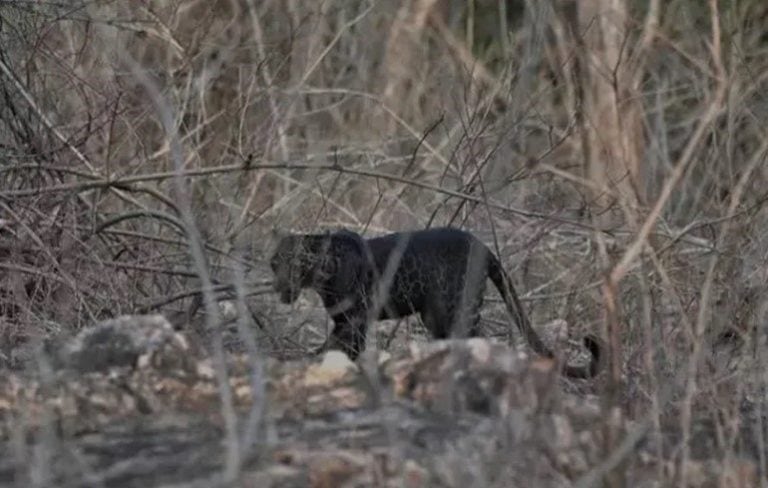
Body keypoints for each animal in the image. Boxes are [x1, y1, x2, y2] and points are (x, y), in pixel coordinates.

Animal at [268, 227, 600, 380]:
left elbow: (336, 346)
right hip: (436, 317)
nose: (276, 285)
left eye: (289, 263)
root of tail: (483, 246)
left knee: (477, 338)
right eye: (273, 263)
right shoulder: (346, 320)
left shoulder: (353, 320)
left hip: (459, 308)